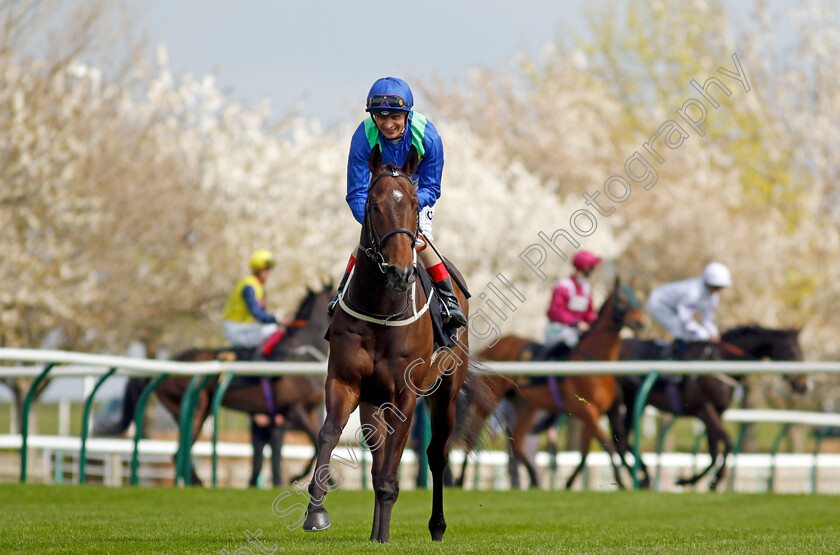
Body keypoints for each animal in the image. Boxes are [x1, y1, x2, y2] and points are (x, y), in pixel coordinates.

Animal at [100, 284, 334, 484]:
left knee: (180, 451)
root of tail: (168, 364)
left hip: (198, 410)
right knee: (179, 452)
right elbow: (315, 440)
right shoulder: (294, 409)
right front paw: (323, 479)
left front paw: (309, 476)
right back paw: (198, 484)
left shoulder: (307, 411)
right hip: (195, 406)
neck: (301, 352)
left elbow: (316, 443)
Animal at [302, 146, 476, 544]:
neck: (382, 309)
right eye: (374, 205)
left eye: (414, 205)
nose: (401, 272)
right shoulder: (345, 381)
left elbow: (393, 469)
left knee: (437, 454)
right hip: (372, 400)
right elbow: (329, 433)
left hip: (445, 392)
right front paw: (316, 511)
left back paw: (436, 526)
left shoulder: (404, 394)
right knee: (378, 452)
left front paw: (384, 532)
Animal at [456, 278, 648, 490]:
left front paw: (572, 482)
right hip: (490, 399)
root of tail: (491, 347)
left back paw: (534, 480)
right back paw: (459, 480)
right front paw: (622, 481)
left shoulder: (602, 412)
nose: (640, 323)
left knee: (517, 442)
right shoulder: (587, 411)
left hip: (525, 406)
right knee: (472, 435)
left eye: (637, 298)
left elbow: (593, 449)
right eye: (621, 299)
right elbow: (607, 444)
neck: (595, 361)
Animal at [616, 326, 808, 490]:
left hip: (635, 402)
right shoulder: (705, 409)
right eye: (792, 352)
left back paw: (642, 475)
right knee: (621, 437)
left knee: (623, 437)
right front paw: (712, 479)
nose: (804, 385)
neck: (721, 361)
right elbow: (728, 442)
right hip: (626, 399)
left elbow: (714, 451)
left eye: (802, 353)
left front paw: (696, 480)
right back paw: (639, 478)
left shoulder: (717, 411)